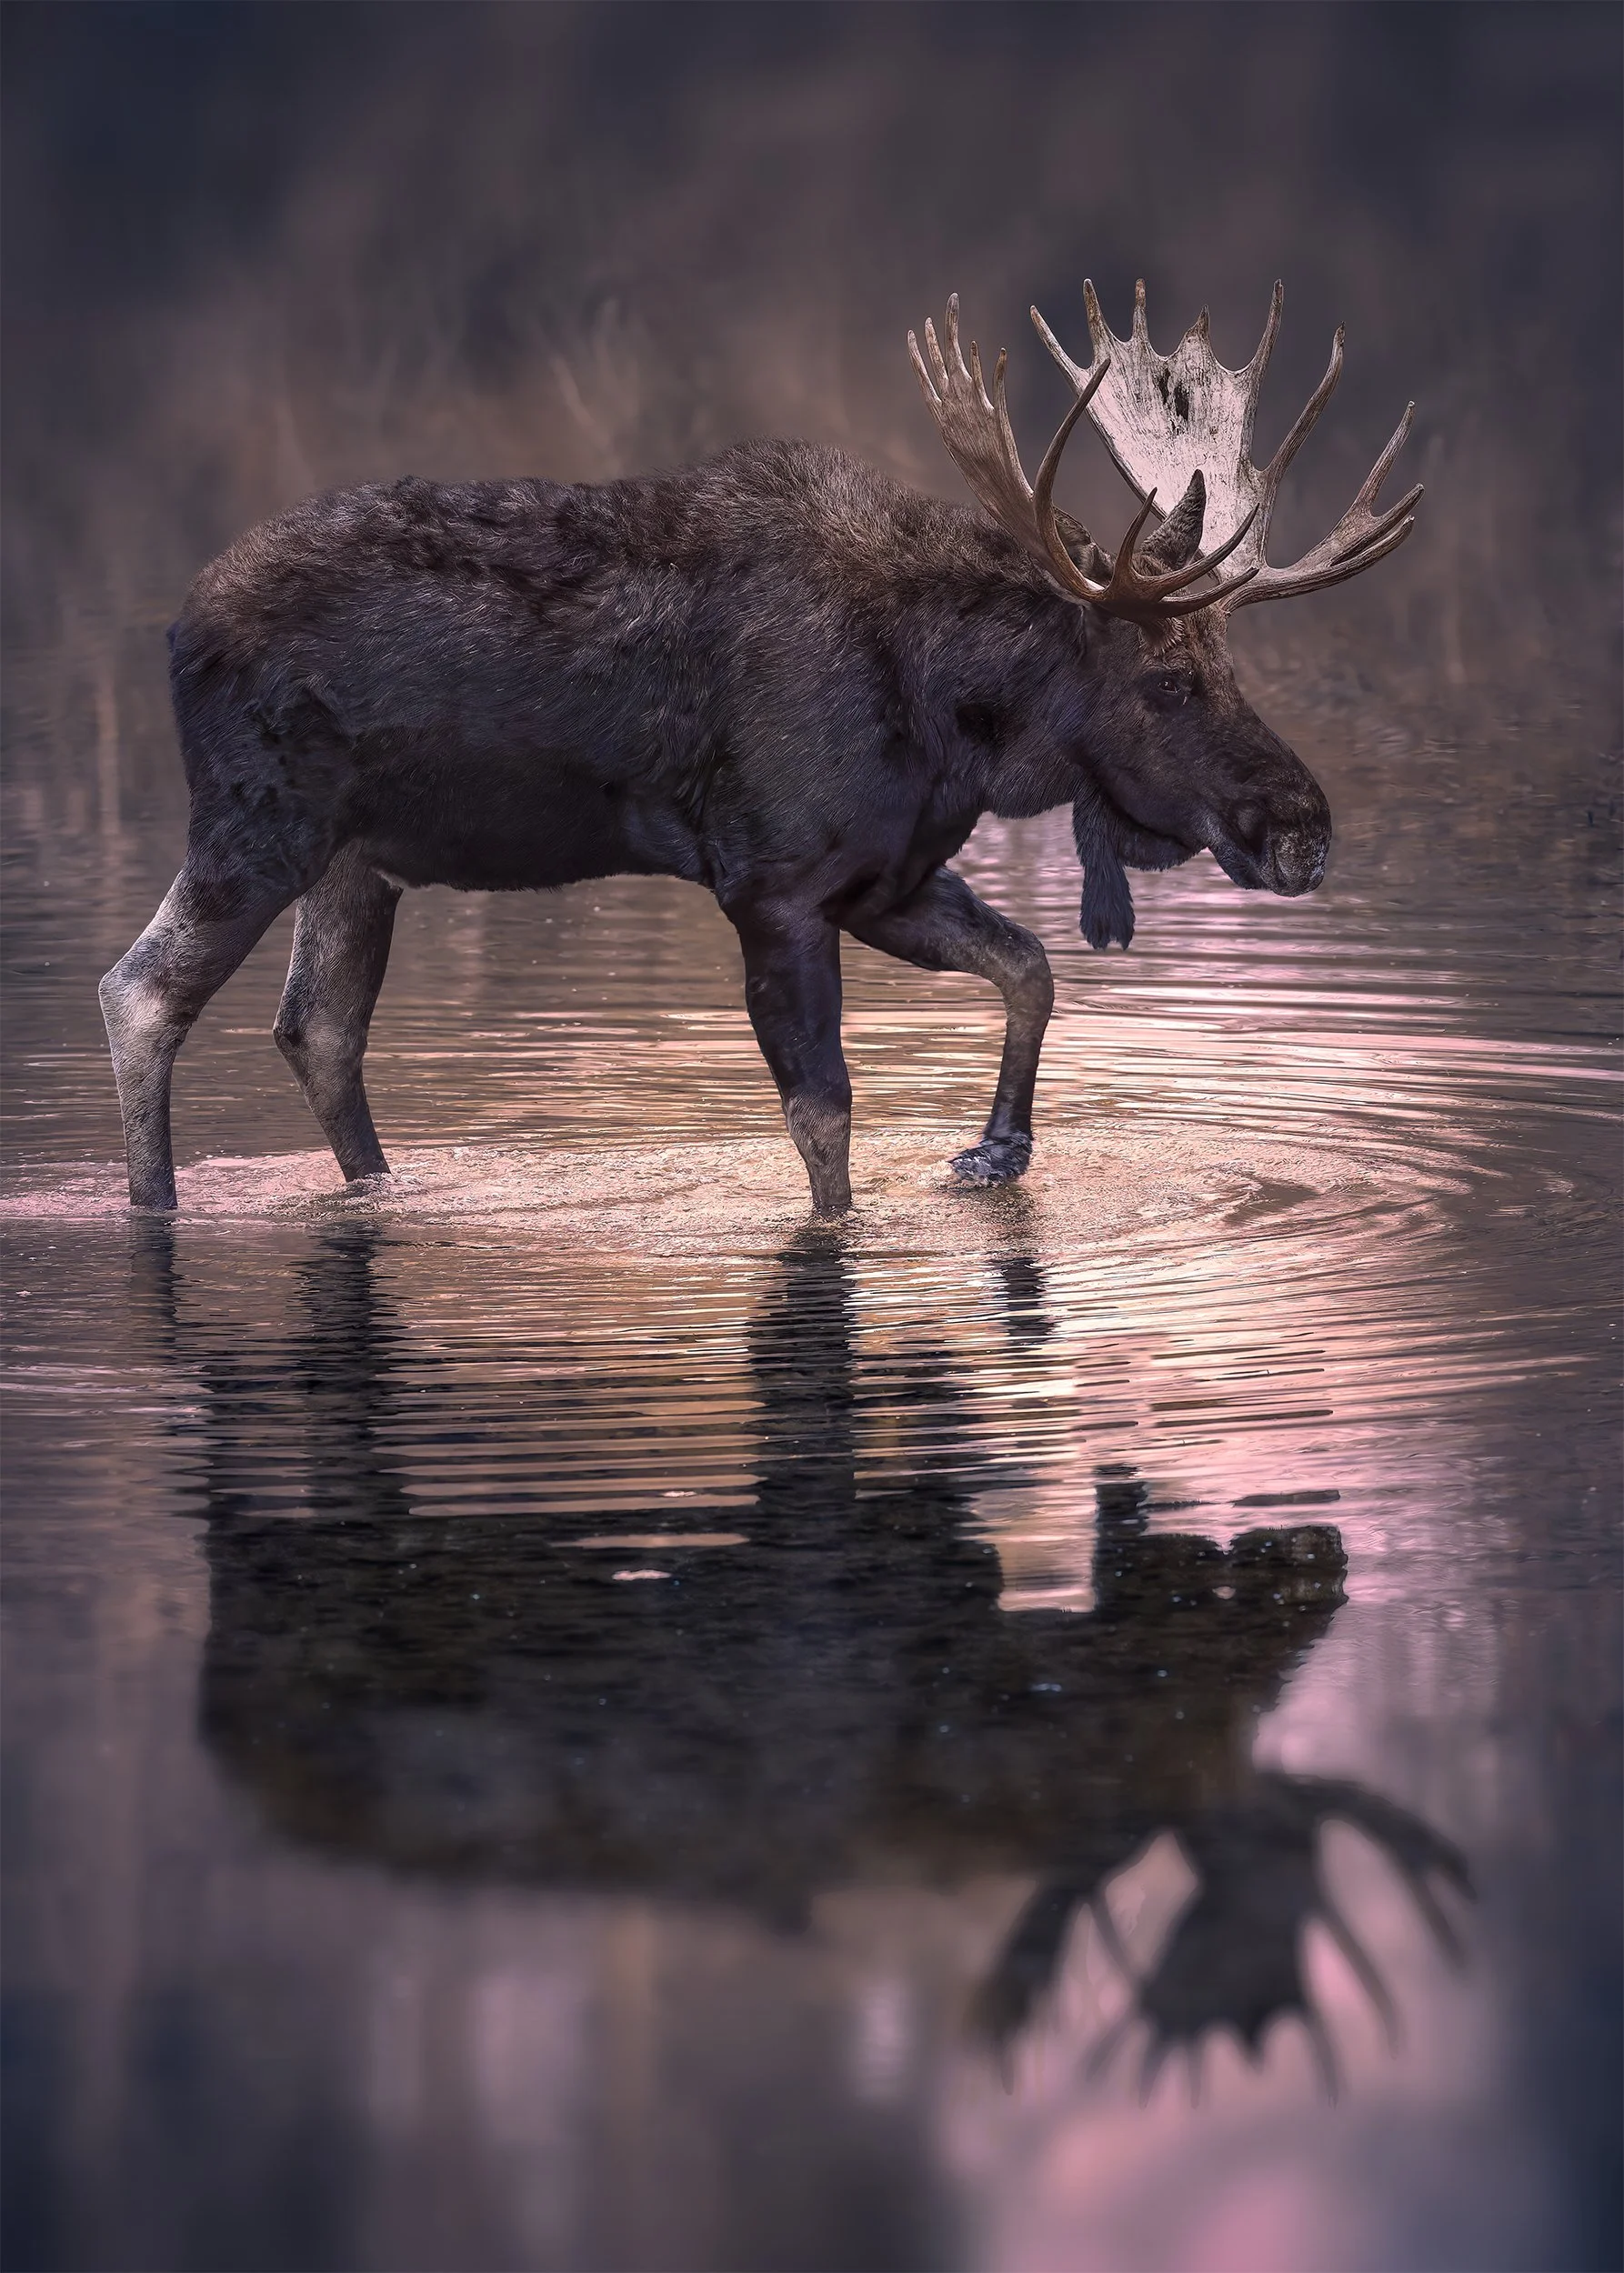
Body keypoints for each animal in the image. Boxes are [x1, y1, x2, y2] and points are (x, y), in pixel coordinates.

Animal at [99, 280, 1421, 1213]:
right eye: (1166, 678)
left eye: (1232, 668)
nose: (1301, 830)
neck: (957, 722)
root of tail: (174, 624)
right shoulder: (774, 883)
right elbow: (824, 1117)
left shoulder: (884, 878)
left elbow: (1029, 967)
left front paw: (993, 1150)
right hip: (256, 822)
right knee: (140, 992)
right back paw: (151, 1207)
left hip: (358, 861)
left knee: (317, 1028)